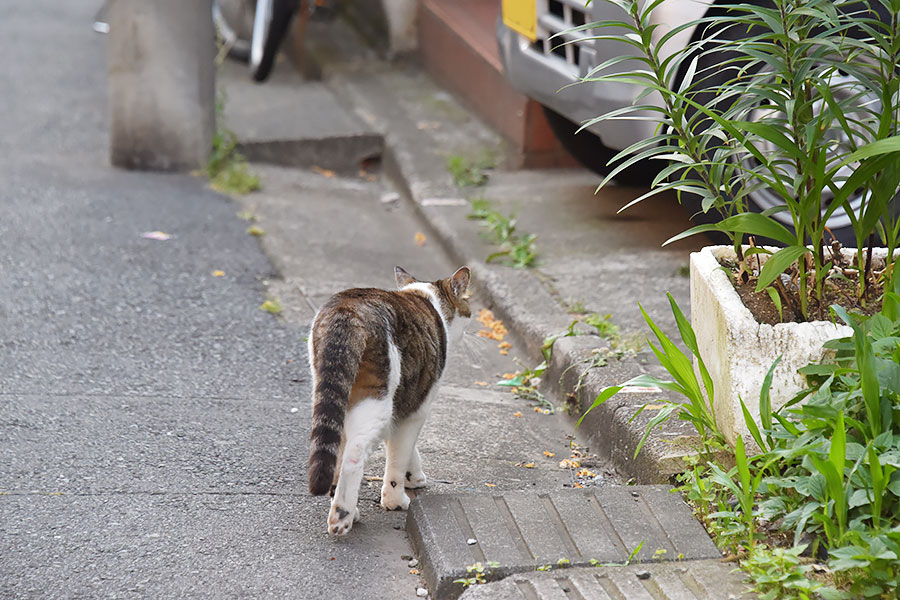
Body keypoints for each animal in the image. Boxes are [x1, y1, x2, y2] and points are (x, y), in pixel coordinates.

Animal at [306, 266, 472, 536]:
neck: (426, 298)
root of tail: (346, 310)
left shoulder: (402, 401)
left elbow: (404, 447)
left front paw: (414, 475)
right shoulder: (417, 407)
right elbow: (398, 454)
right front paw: (396, 499)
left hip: (334, 392)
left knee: (336, 449)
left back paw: (345, 505)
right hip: (376, 397)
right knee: (353, 455)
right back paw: (342, 516)